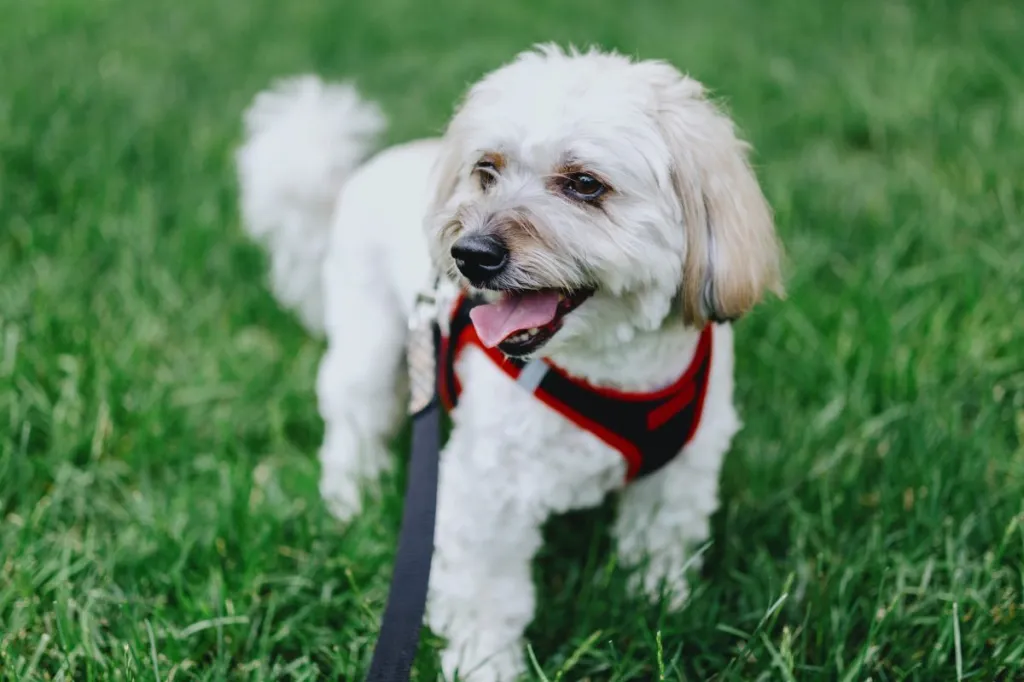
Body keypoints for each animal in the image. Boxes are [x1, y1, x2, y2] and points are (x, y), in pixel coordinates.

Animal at [235, 45, 782, 675]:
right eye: (486, 169)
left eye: (586, 184)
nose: (469, 254)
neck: (612, 371)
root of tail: (365, 169)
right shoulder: (486, 491)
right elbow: (485, 594)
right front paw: (485, 667)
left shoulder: (677, 473)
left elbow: (658, 547)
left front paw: (662, 610)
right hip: (368, 350)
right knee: (353, 429)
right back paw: (350, 502)